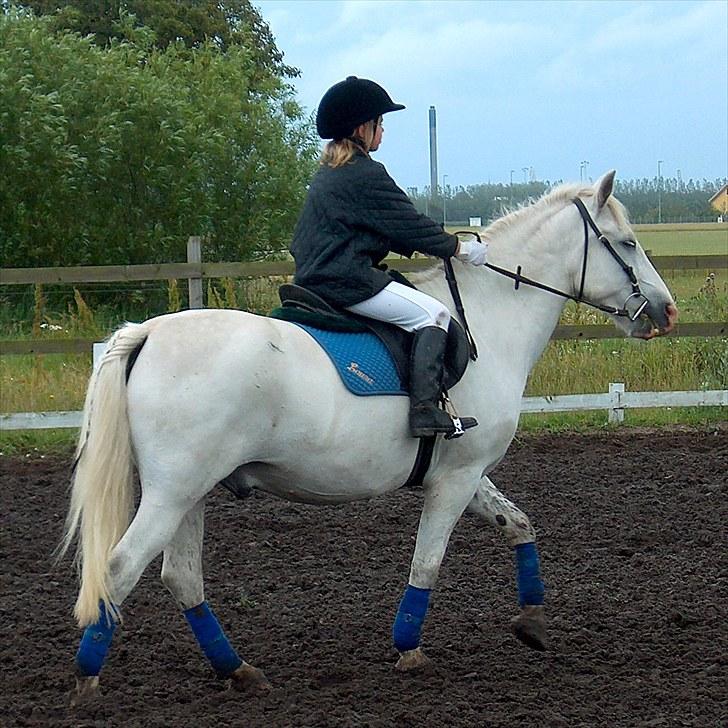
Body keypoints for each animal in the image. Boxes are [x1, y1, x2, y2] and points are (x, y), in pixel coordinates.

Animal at [61, 171, 676, 700]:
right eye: (626, 243)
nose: (666, 312)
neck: (489, 316)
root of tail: (148, 333)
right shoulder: (455, 479)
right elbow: (427, 564)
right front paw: (409, 650)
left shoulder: (467, 473)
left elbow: (519, 525)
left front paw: (532, 623)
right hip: (173, 493)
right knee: (119, 570)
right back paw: (87, 681)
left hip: (190, 494)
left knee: (182, 578)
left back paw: (237, 670)